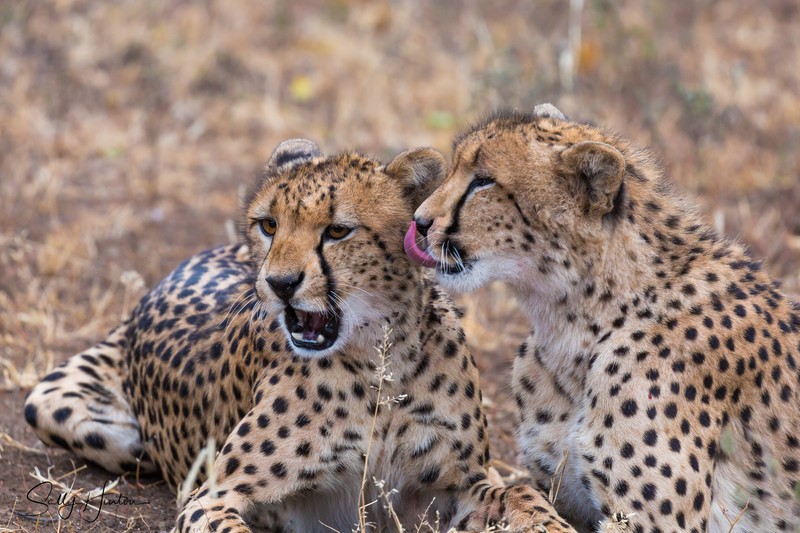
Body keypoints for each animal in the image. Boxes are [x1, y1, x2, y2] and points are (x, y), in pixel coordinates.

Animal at [23, 139, 575, 533]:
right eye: (268, 225)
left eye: (337, 231)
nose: (279, 283)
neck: (380, 359)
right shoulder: (214, 496)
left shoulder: (461, 484)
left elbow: (523, 496)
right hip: (57, 407)